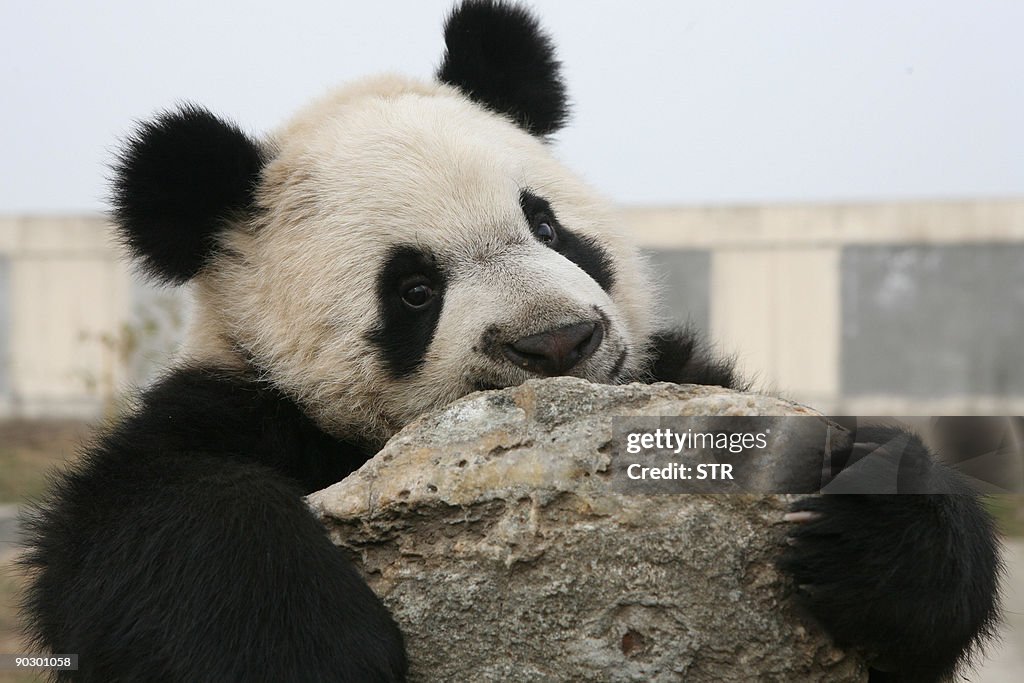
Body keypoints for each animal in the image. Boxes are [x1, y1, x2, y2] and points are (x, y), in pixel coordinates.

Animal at [22, 1, 999, 683]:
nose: (560, 341)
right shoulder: (242, 404)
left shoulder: (667, 374)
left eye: (548, 225)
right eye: (414, 289)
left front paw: (873, 535)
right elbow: (138, 513)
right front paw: (301, 646)